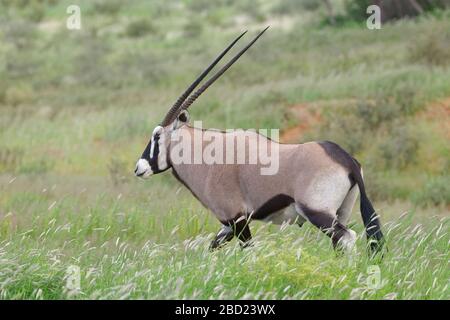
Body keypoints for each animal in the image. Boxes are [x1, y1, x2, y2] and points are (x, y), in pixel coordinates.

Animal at [134, 28, 384, 256]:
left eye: (157, 136)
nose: (139, 168)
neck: (206, 154)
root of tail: (345, 159)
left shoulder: (236, 218)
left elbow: (248, 250)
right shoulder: (229, 225)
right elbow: (212, 247)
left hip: (317, 212)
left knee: (346, 237)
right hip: (341, 211)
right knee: (341, 241)